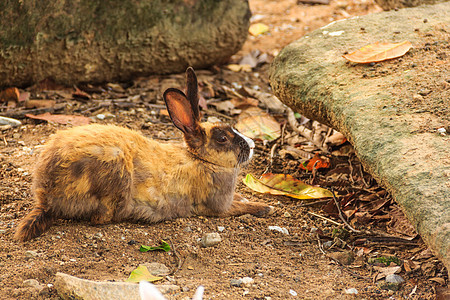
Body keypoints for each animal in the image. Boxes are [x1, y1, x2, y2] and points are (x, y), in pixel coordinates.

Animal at [14, 68, 270, 241]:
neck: (201, 160)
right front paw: (265, 208)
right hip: (114, 174)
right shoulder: (218, 206)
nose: (251, 145)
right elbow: (239, 208)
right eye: (222, 139)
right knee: (101, 219)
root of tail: (46, 197)